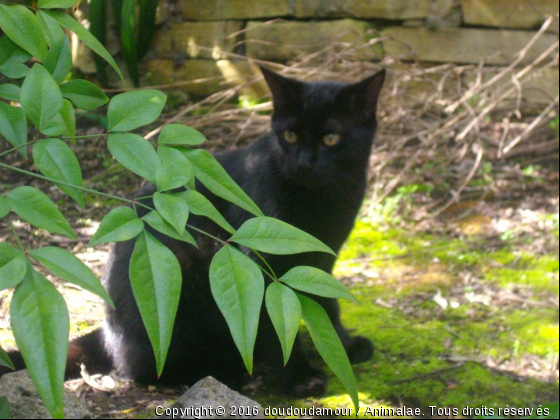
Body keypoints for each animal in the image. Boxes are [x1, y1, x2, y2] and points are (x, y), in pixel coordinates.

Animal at [5, 67, 384, 396]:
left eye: (331, 138)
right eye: (290, 135)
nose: (304, 164)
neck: (321, 203)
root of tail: (107, 333)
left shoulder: (321, 261)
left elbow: (328, 305)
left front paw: (345, 346)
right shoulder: (259, 268)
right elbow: (275, 328)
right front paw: (300, 377)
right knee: (145, 368)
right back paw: (224, 370)